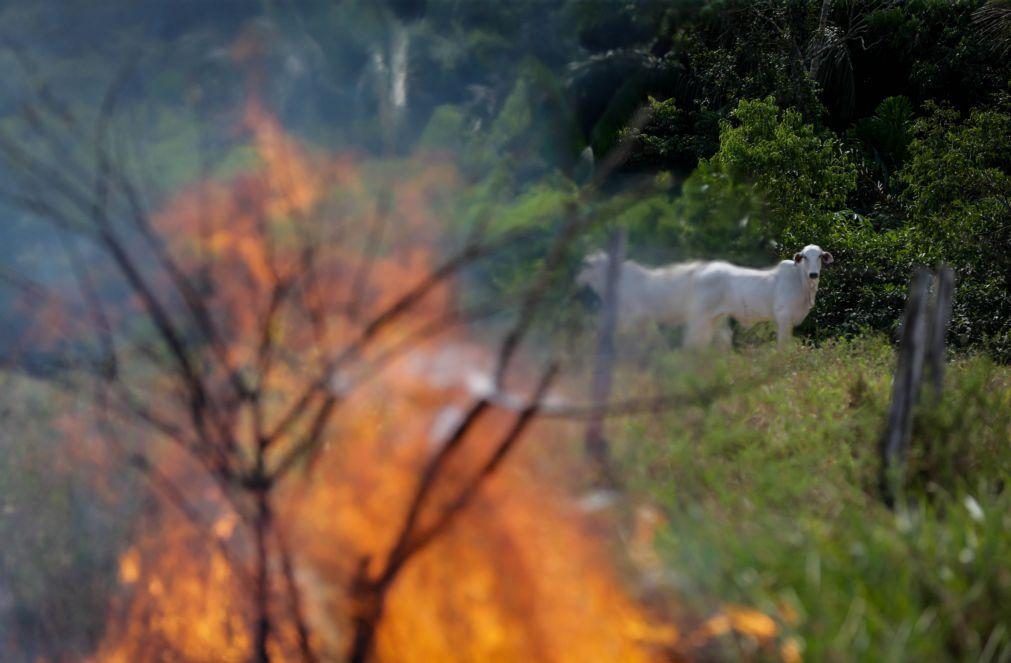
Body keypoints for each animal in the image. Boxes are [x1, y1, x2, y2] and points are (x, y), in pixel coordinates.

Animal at [574, 243, 833, 347]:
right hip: (700, 318)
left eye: (820, 256)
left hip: (714, 319)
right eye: (805, 257)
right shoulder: (783, 317)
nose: (813, 273)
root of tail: (700, 270)